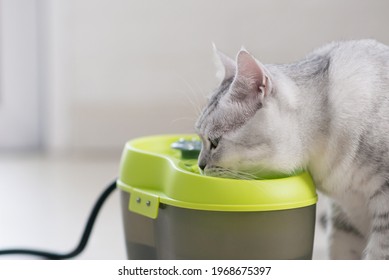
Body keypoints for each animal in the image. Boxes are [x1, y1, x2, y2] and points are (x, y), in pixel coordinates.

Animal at [196, 40, 388, 260]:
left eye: (214, 142)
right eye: (200, 138)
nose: (199, 165)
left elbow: (378, 254)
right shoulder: (344, 218)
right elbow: (341, 252)